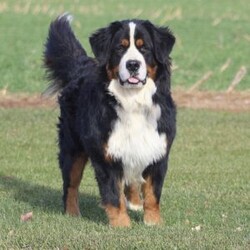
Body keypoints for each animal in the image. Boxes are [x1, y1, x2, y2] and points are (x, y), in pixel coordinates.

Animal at [43, 14, 176, 228]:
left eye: (144, 48)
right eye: (120, 48)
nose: (133, 65)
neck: (133, 101)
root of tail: (81, 69)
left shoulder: (158, 150)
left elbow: (152, 193)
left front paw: (153, 222)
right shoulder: (106, 155)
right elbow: (113, 194)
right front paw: (122, 225)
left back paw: (135, 203)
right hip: (73, 147)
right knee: (70, 184)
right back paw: (72, 213)